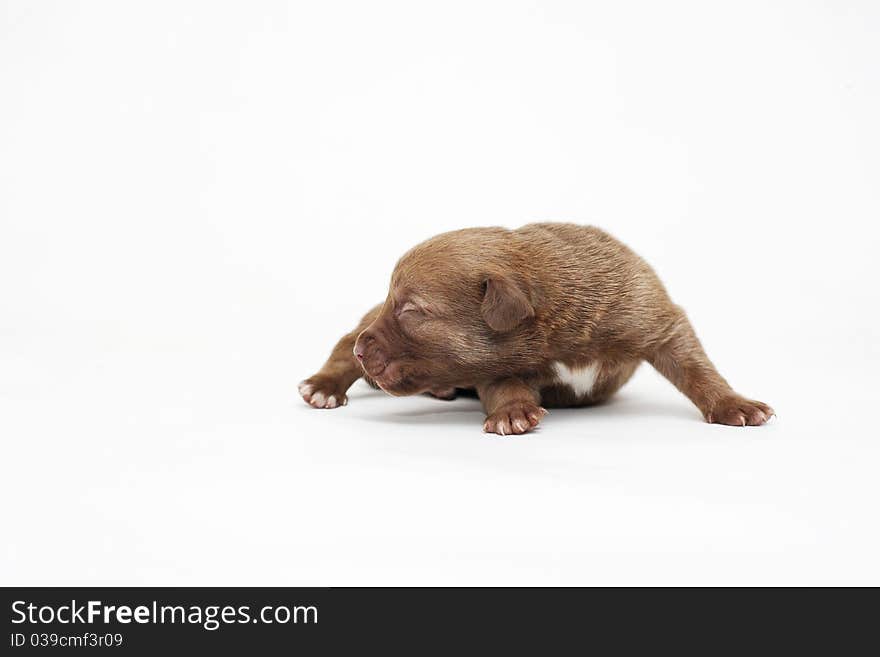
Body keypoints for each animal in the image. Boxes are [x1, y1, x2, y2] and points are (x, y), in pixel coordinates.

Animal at [300, 223, 772, 434]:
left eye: (412, 310)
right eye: (396, 303)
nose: (365, 353)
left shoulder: (651, 315)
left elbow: (695, 367)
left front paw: (734, 404)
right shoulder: (493, 363)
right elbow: (505, 386)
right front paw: (512, 412)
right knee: (343, 340)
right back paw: (323, 387)